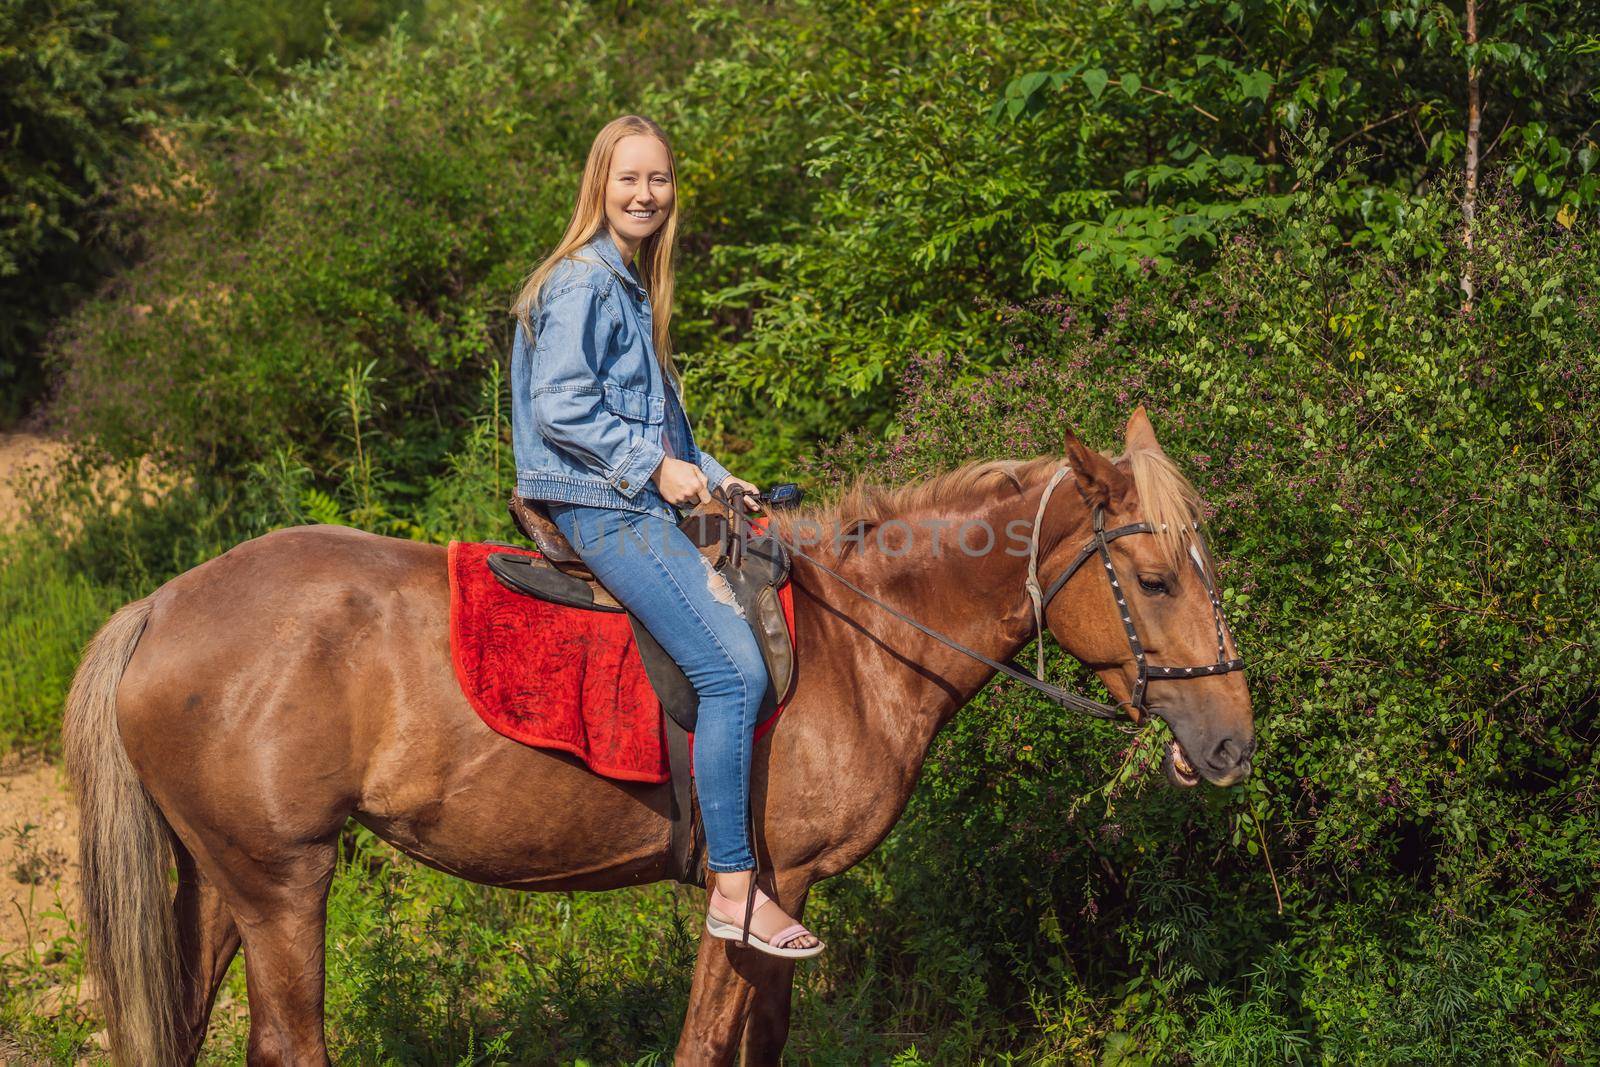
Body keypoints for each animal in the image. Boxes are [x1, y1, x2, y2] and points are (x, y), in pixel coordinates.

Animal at [59, 409, 1248, 1067]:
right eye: (1152, 579)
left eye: (1207, 564)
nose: (1233, 741)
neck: (858, 643)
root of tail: (158, 607)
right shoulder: (757, 886)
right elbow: (705, 1043)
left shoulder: (788, 901)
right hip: (284, 884)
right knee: (290, 1043)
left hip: (224, 883)